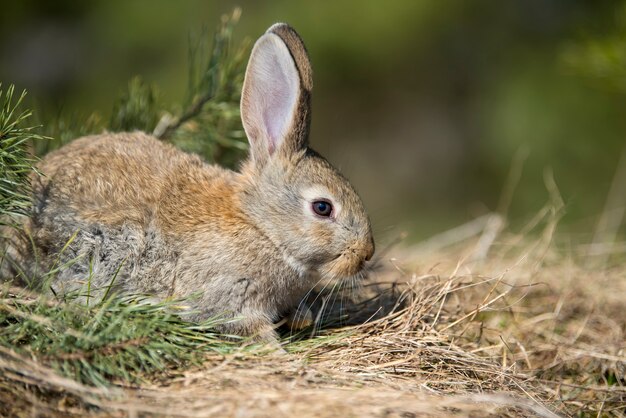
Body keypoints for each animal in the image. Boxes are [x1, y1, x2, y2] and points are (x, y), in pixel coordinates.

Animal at [9, 22, 372, 342]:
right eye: (323, 208)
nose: (366, 254)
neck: (261, 227)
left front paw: (301, 318)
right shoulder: (227, 295)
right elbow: (243, 325)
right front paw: (274, 349)